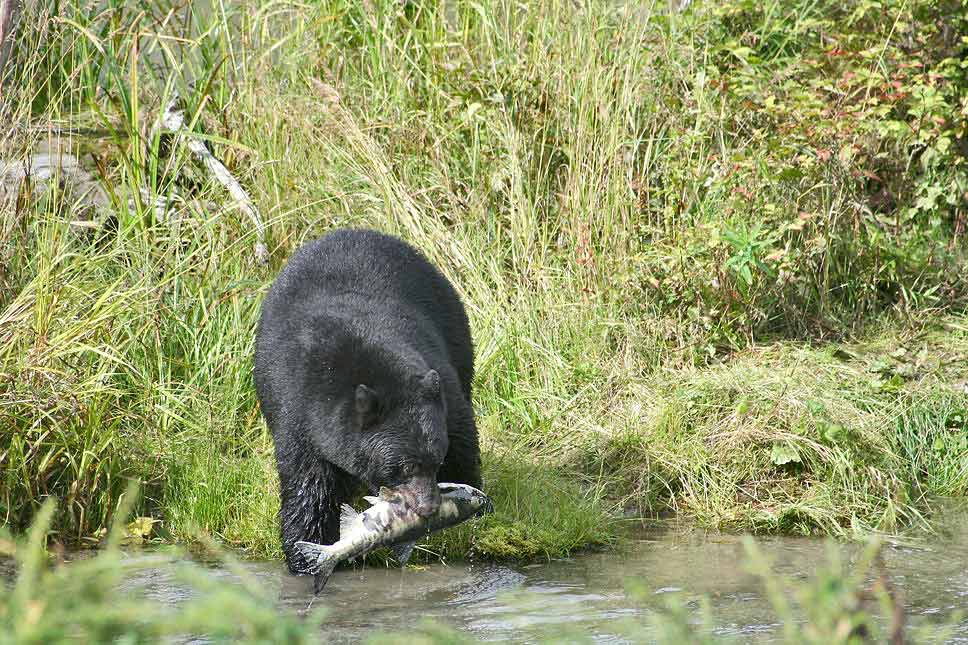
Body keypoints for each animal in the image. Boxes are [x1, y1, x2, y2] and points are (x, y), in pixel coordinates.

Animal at [253, 229, 480, 572]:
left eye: (437, 460)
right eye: (405, 466)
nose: (428, 507)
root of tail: (355, 231)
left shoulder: (441, 382)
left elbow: (462, 439)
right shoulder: (297, 413)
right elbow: (309, 485)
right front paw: (304, 552)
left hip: (455, 330)